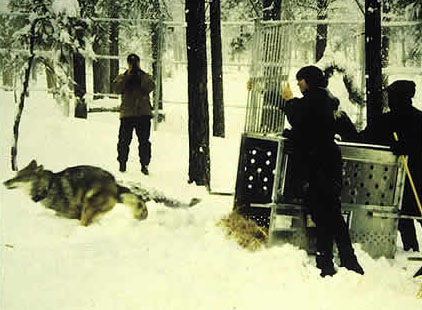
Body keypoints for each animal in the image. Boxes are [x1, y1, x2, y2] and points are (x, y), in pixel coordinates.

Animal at [3, 160, 199, 225]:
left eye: (20, 177)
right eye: (16, 175)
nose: (4, 182)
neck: (48, 187)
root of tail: (115, 184)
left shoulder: (72, 212)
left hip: (89, 205)